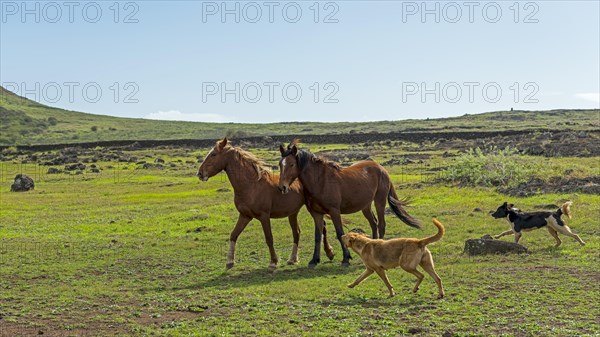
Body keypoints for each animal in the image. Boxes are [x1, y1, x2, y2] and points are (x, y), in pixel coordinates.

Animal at [198, 138, 336, 270]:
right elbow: (233, 235)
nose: (199, 173)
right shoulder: (245, 216)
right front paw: (230, 262)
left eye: (214, 154)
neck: (251, 186)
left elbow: (269, 238)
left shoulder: (264, 216)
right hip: (293, 213)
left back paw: (328, 253)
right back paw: (294, 259)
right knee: (297, 232)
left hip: (310, 209)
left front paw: (273, 262)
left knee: (321, 227)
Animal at [278, 138, 420, 266]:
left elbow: (340, 233)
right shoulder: (316, 213)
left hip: (379, 201)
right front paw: (314, 260)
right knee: (374, 223)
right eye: (280, 164)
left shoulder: (334, 211)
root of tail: (381, 169)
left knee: (381, 224)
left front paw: (346, 258)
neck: (320, 182)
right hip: (365, 206)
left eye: (291, 164)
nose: (282, 187)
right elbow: (318, 236)